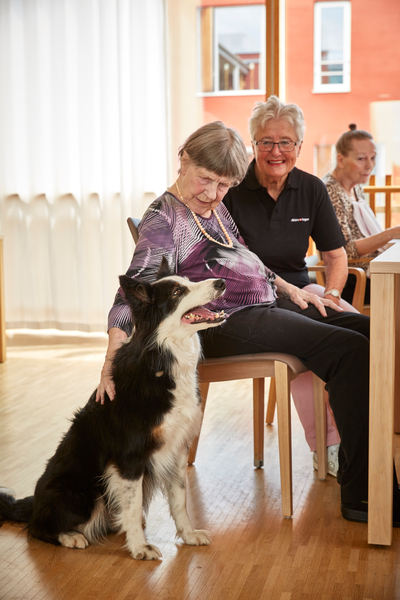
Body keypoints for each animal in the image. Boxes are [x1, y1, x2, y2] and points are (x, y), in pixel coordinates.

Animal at [0, 260, 225, 560]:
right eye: (178, 292)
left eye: (189, 281)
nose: (222, 283)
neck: (161, 361)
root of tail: (33, 503)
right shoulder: (129, 458)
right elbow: (132, 505)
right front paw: (140, 547)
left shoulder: (177, 450)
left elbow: (179, 499)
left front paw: (188, 535)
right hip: (78, 494)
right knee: (39, 527)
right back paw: (70, 536)